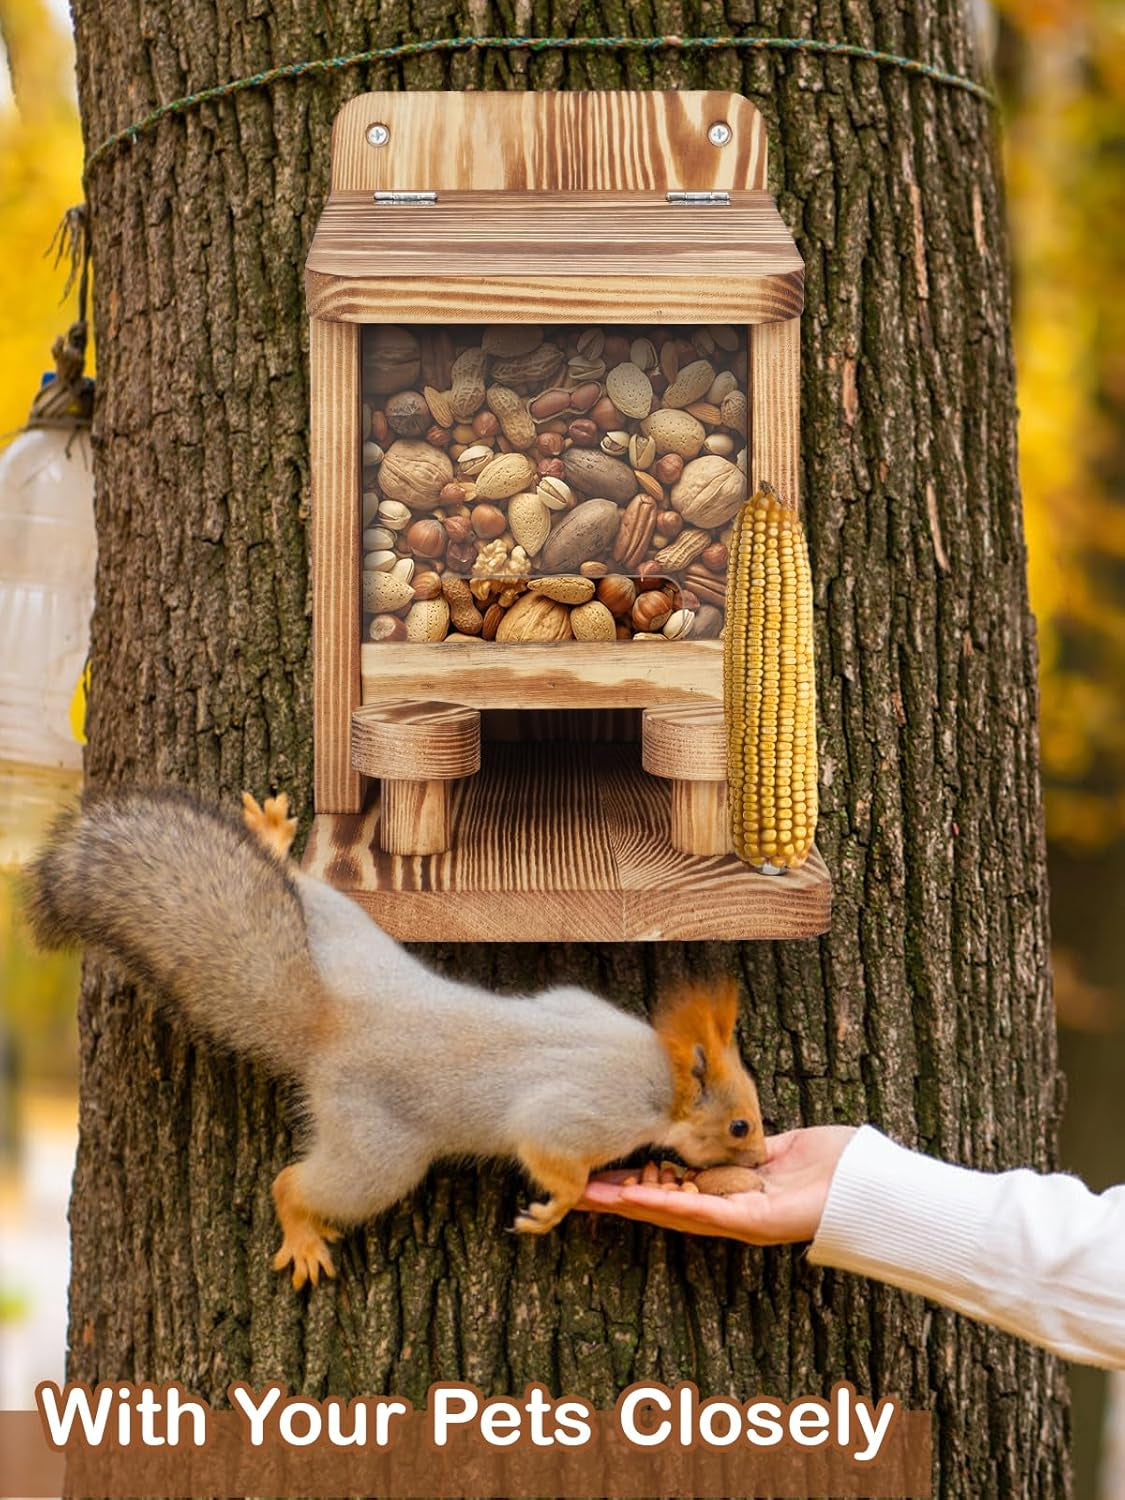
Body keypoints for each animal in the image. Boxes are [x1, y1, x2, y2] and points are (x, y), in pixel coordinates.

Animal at [26, 786, 767, 1290]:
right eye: (738, 1126)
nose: (761, 1157)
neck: (655, 1069)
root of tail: (330, 1021)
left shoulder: (581, 1008)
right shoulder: (588, 1114)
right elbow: (552, 1153)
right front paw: (555, 1209)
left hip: (344, 929)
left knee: (304, 887)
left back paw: (271, 839)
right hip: (378, 1153)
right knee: (299, 1184)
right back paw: (301, 1231)